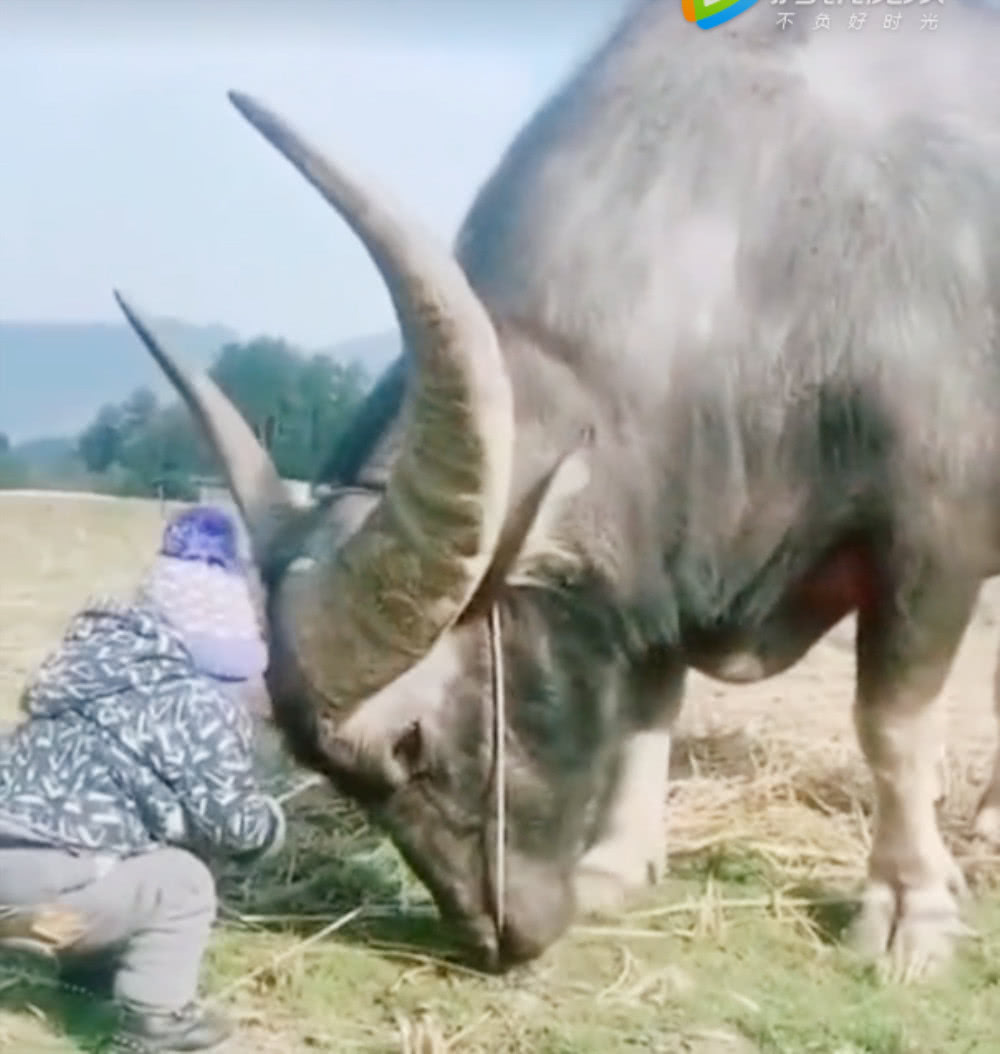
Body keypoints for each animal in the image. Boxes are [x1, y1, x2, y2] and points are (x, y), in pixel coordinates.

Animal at [114, 2, 998, 978]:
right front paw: (617, 861)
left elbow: (892, 725)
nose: (496, 936)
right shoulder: (662, 562)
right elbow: (651, 705)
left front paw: (911, 907)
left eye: (410, 740)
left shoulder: (930, 546)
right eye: (337, 777)